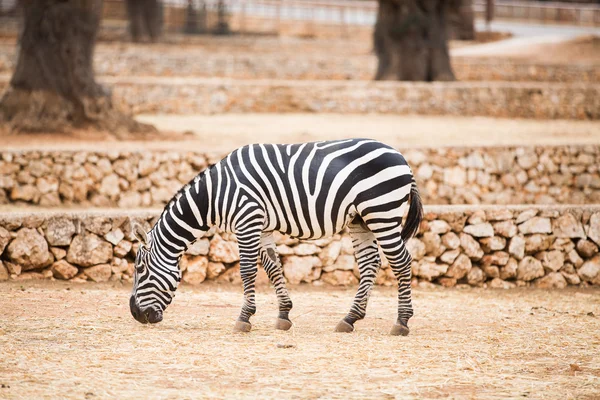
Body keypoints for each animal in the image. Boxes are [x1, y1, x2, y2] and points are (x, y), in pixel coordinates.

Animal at [130, 139, 422, 336]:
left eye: (140, 269)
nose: (135, 314)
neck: (214, 196)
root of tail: (401, 157)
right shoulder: (262, 226)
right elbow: (272, 267)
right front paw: (284, 314)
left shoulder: (246, 220)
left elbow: (248, 270)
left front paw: (244, 318)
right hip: (361, 220)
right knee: (370, 264)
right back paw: (350, 318)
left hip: (382, 211)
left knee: (402, 262)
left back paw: (402, 321)